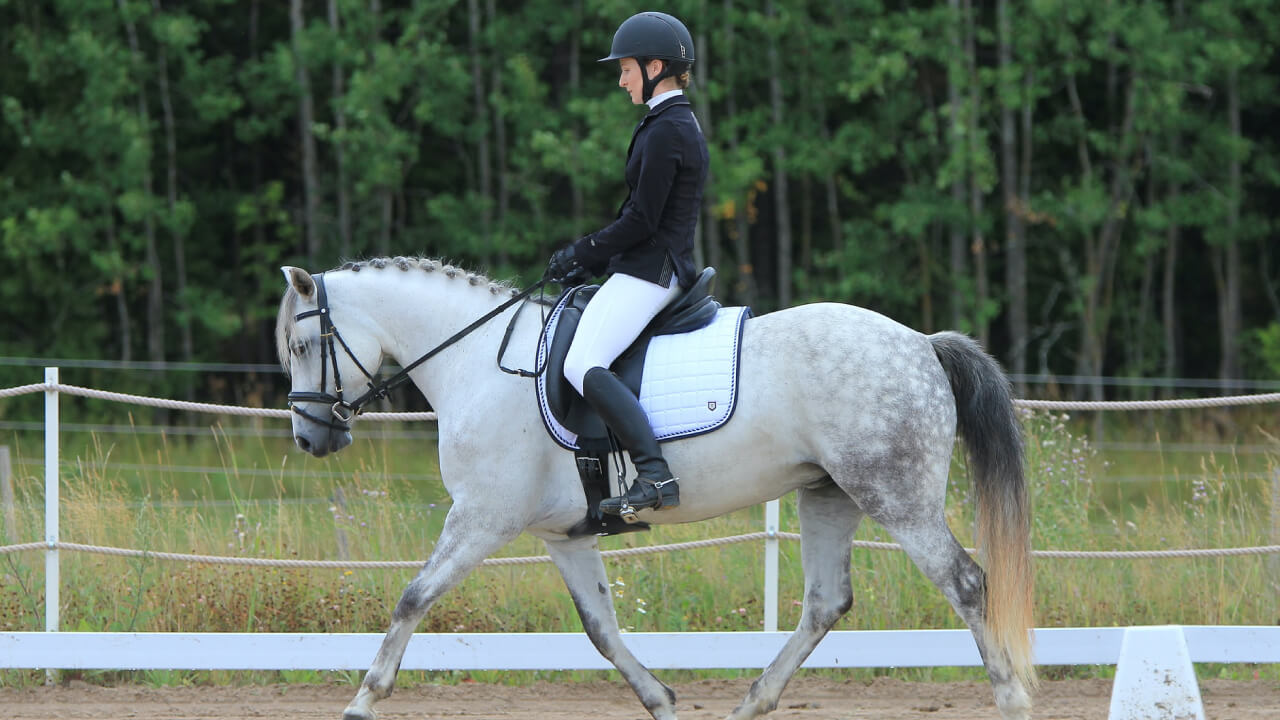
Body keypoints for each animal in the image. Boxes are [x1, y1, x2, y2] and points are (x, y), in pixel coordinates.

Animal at [275, 257, 1036, 720]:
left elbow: (412, 597)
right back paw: (751, 702)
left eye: (303, 346)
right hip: (829, 494)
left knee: (967, 584)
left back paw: (1012, 700)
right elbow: (601, 629)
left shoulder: (482, 519)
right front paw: (662, 699)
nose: (312, 439)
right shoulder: (563, 535)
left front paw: (363, 700)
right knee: (826, 603)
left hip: (894, 495)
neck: (478, 364)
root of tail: (921, 343)